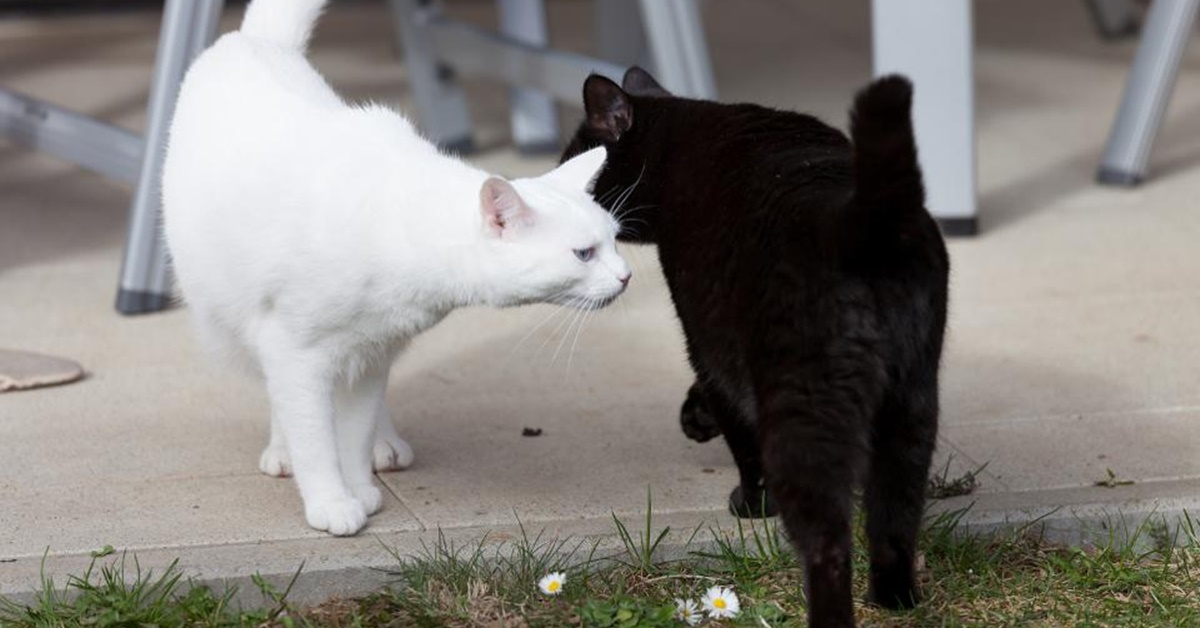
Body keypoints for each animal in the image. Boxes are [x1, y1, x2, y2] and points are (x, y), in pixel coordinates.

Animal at [164, 0, 633, 535]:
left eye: (614, 241)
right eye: (584, 254)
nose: (626, 276)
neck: (400, 225)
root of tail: (252, 41)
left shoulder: (373, 351)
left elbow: (353, 431)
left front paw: (360, 487)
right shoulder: (294, 351)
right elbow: (314, 436)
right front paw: (331, 502)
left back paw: (383, 447)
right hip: (231, 320)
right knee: (273, 387)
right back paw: (283, 450)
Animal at [559, 68, 945, 628]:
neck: (680, 142)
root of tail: (856, 218)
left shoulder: (704, 339)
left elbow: (740, 433)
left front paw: (749, 501)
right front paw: (695, 416)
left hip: (806, 413)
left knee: (827, 542)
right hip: (913, 404)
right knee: (896, 518)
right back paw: (894, 599)